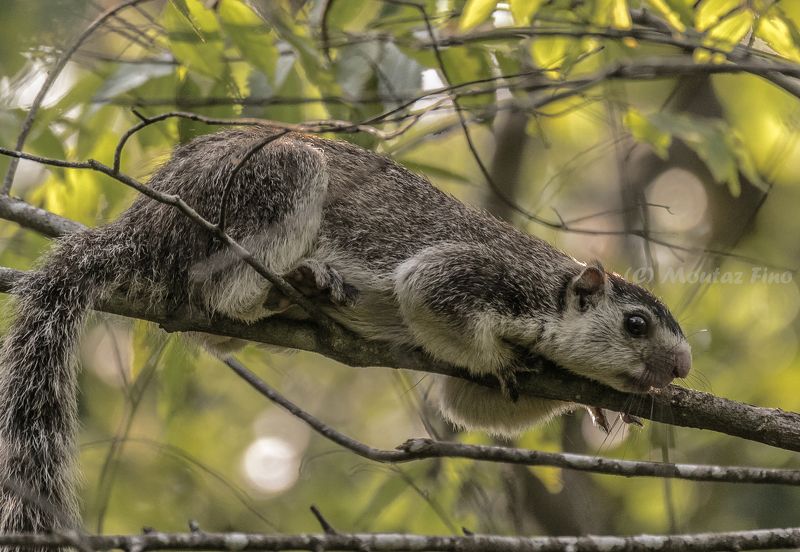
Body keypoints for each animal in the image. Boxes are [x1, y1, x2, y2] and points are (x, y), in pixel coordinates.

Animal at [0, 126, 691, 539]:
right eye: (635, 325)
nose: (681, 369)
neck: (548, 287)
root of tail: (142, 223)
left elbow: (464, 403)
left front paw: (597, 404)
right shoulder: (475, 277)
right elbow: (427, 293)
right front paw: (502, 362)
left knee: (215, 328)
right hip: (265, 187)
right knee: (220, 292)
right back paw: (294, 285)